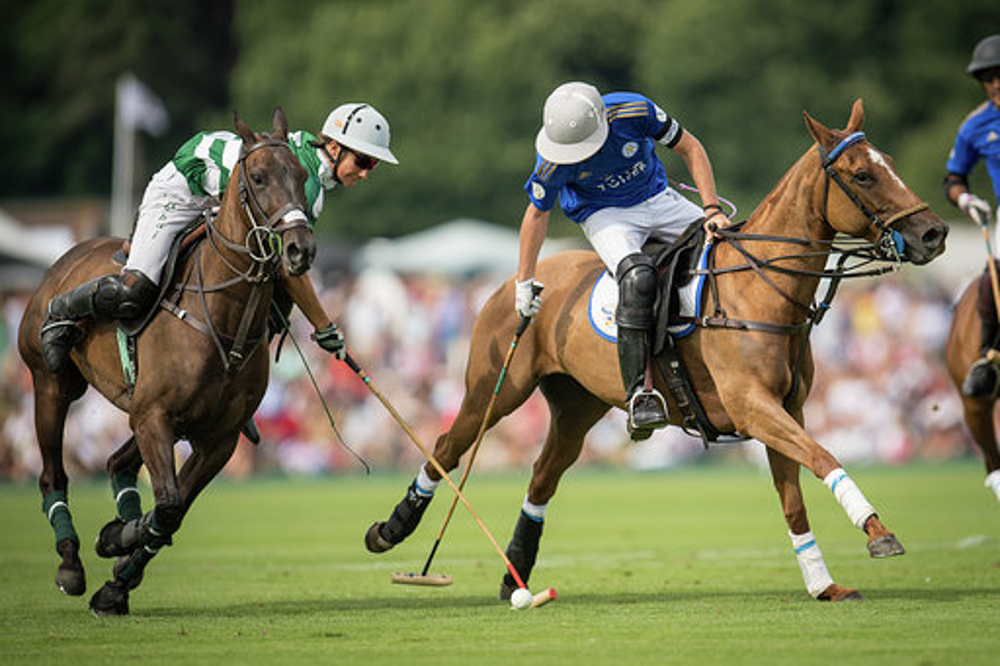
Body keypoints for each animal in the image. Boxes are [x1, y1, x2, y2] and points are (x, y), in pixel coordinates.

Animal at [17, 107, 314, 612]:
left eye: (302, 176)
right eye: (258, 177)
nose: (300, 249)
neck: (223, 318)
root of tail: (68, 255)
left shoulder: (217, 437)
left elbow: (172, 512)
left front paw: (117, 572)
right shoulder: (154, 416)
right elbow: (170, 504)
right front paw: (116, 543)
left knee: (115, 462)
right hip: (51, 384)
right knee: (52, 474)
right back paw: (70, 563)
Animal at [372, 100, 948, 600]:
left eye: (891, 164)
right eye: (862, 175)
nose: (934, 233)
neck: (758, 289)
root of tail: (518, 276)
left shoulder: (787, 408)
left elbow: (794, 499)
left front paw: (824, 585)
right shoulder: (752, 405)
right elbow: (824, 456)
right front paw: (878, 533)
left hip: (578, 405)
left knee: (543, 475)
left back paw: (515, 577)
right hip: (497, 387)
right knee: (448, 445)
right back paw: (391, 530)